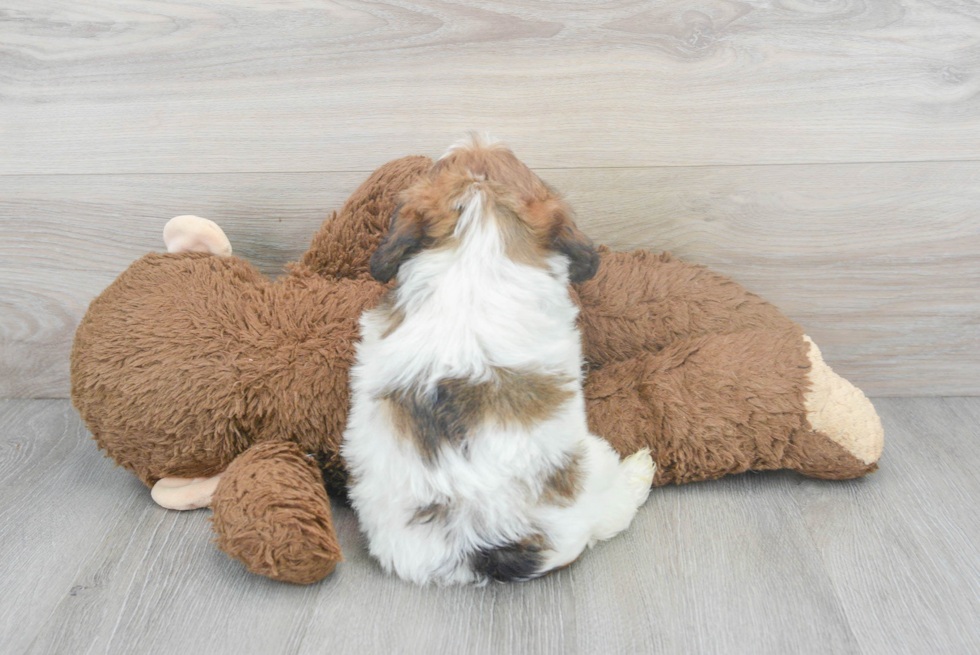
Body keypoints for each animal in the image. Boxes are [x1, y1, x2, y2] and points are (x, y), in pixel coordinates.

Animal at [340, 135, 656, 584]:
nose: (477, 136)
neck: (478, 237)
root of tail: (490, 543)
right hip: (592, 465)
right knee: (612, 513)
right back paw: (639, 471)